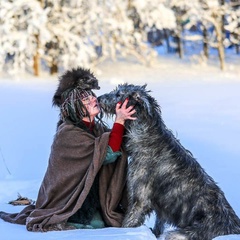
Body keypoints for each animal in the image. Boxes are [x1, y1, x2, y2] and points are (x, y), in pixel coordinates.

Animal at [98, 84, 240, 240]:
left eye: (119, 94)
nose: (98, 98)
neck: (147, 136)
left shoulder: (141, 196)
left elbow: (129, 222)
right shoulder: (160, 210)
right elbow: (158, 224)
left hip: (187, 232)